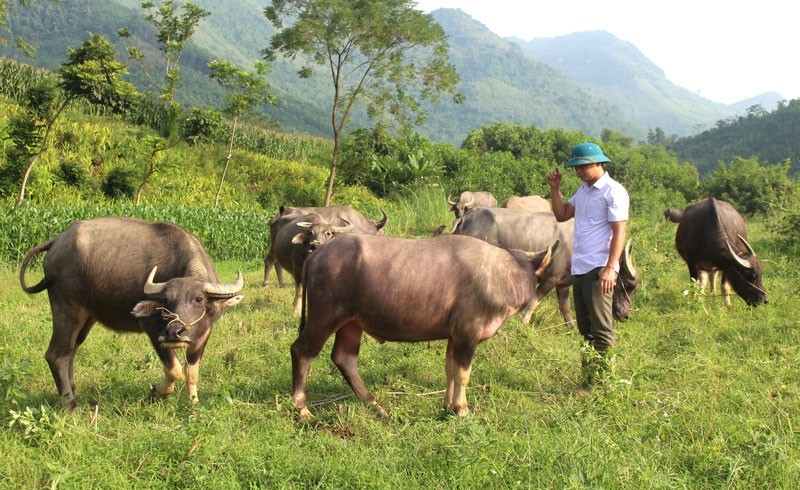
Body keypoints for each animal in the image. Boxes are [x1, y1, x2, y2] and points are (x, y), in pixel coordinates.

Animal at [18, 217, 244, 410]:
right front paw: (157, 392)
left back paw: (74, 390)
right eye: (166, 301)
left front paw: (193, 402)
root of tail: (57, 241)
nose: (174, 332)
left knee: (71, 350)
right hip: (67, 307)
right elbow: (174, 369)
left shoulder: (204, 334)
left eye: (198, 299)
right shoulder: (154, 330)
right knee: (57, 354)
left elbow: (192, 370)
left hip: (87, 316)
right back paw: (70, 404)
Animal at [290, 234, 560, 418]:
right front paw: (462, 409)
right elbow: (463, 374)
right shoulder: (468, 333)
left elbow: (450, 370)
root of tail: (318, 252)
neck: (501, 275)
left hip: (351, 323)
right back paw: (301, 407)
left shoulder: (454, 336)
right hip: (325, 316)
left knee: (344, 358)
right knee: (302, 351)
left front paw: (448, 406)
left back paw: (375, 405)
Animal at [454, 208, 640, 326]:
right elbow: (533, 301)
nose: (625, 315)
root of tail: (466, 217)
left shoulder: (562, 284)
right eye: (629, 285)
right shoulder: (550, 278)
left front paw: (571, 327)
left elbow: (565, 308)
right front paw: (523, 322)